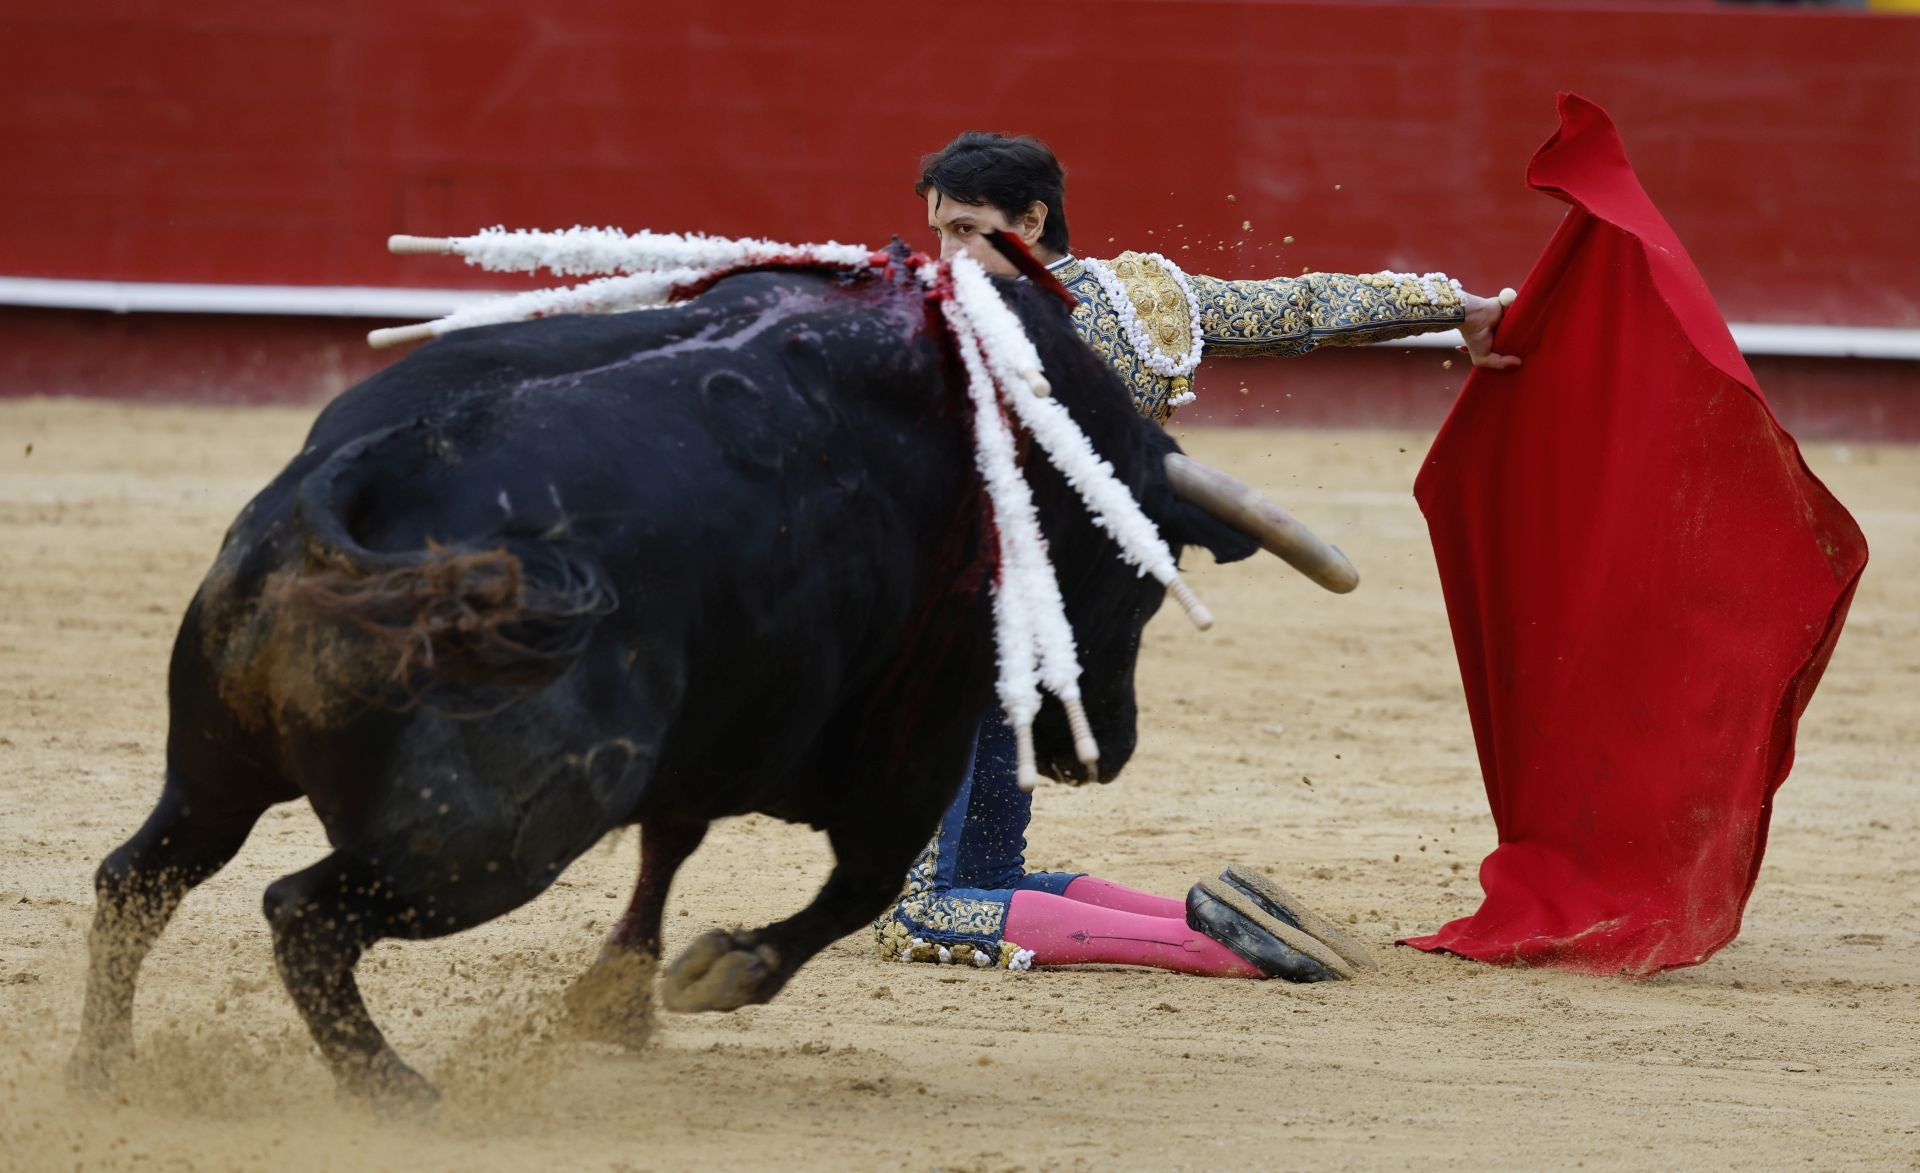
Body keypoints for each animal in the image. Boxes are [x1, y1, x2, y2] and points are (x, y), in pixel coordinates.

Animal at [67, 242, 1313, 1105]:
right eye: (1141, 584)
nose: (1102, 746)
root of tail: (373, 477)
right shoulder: (904, 743)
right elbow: (856, 883)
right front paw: (714, 973)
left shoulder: (720, 724)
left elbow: (671, 846)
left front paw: (615, 999)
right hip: (492, 837)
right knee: (305, 914)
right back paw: (397, 1092)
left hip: (215, 761)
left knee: (138, 879)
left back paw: (105, 1072)